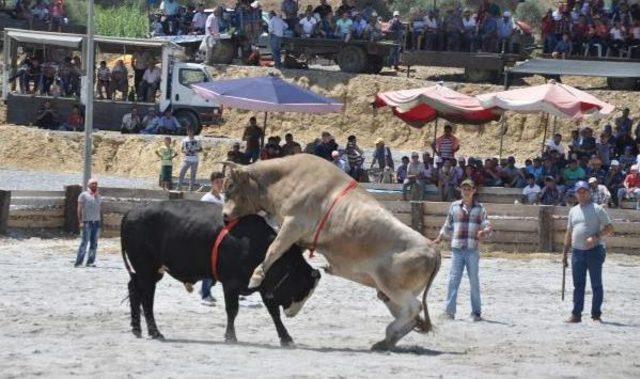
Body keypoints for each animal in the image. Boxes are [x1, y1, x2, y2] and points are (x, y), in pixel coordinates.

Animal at [121, 202, 320, 348]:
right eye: (302, 288)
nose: (293, 313)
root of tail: (132, 211)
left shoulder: (264, 286)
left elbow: (273, 313)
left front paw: (286, 338)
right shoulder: (230, 283)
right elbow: (232, 310)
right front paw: (231, 337)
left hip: (148, 273)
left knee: (134, 290)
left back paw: (136, 329)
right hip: (146, 270)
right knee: (147, 299)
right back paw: (155, 332)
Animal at [224, 154, 440, 350]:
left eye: (230, 186)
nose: (225, 216)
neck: (286, 178)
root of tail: (432, 249)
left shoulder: (293, 224)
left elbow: (274, 249)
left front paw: (256, 276)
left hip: (392, 286)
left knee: (414, 308)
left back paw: (388, 336)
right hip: (387, 292)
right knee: (410, 317)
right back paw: (386, 341)